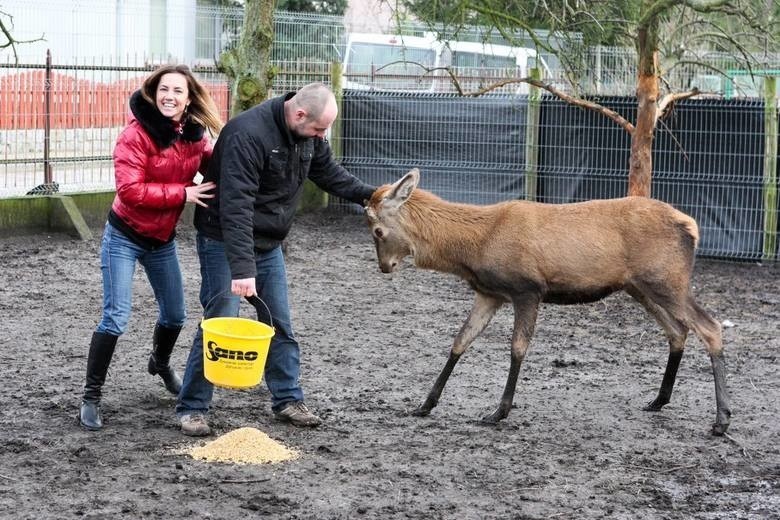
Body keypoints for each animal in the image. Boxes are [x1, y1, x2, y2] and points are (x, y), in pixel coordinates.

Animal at [366, 170, 732, 434]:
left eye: (377, 230)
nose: (385, 266)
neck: (475, 247)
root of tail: (692, 227)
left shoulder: (528, 289)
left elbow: (518, 348)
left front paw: (499, 411)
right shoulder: (489, 293)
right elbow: (460, 341)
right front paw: (424, 404)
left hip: (667, 280)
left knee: (710, 327)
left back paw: (721, 419)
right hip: (641, 287)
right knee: (678, 330)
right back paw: (659, 399)